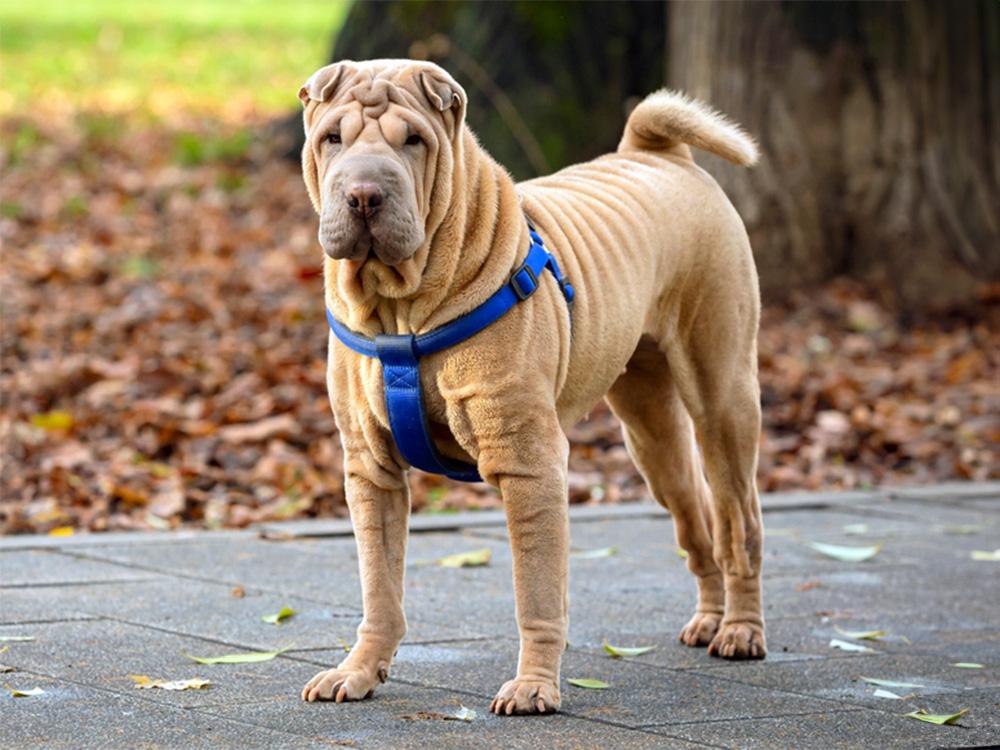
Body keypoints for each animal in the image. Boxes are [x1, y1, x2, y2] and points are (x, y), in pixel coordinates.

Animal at [296, 58, 764, 716]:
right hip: (651, 434)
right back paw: (710, 619)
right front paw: (359, 671)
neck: (401, 310)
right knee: (694, 511)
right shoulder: (371, 471)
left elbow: (537, 591)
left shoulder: (528, 463)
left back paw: (741, 630)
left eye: (412, 141)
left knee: (739, 519)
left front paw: (534, 686)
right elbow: (379, 586)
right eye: (332, 138)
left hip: (722, 395)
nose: (364, 195)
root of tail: (657, 154)